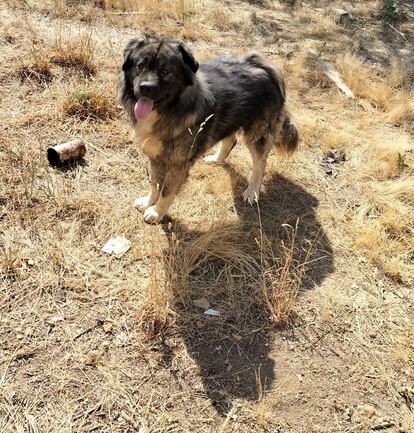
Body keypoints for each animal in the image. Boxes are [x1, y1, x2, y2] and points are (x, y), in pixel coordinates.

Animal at [118, 36, 300, 223]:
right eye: (140, 66)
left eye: (165, 71)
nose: (145, 87)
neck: (171, 110)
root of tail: (264, 66)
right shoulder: (156, 155)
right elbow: (154, 183)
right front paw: (148, 201)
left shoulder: (178, 163)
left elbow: (166, 191)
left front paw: (156, 212)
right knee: (231, 140)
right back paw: (217, 159)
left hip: (258, 134)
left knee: (260, 164)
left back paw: (252, 191)